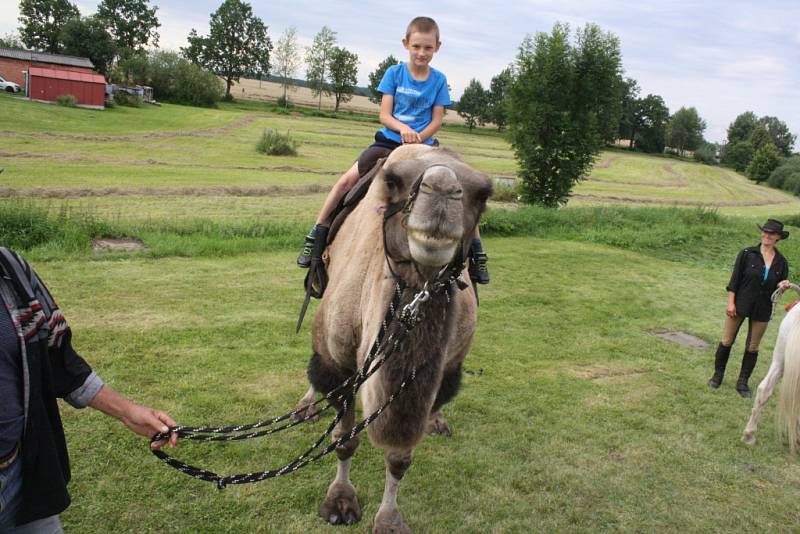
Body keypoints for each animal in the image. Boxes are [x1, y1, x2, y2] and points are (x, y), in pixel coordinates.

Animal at [302, 144, 490, 532]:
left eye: (483, 194)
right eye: (392, 181)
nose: (442, 191)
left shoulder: (443, 369)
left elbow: (401, 456)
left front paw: (389, 519)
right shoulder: (341, 364)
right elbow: (344, 440)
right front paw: (339, 502)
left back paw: (436, 420)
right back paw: (305, 407)